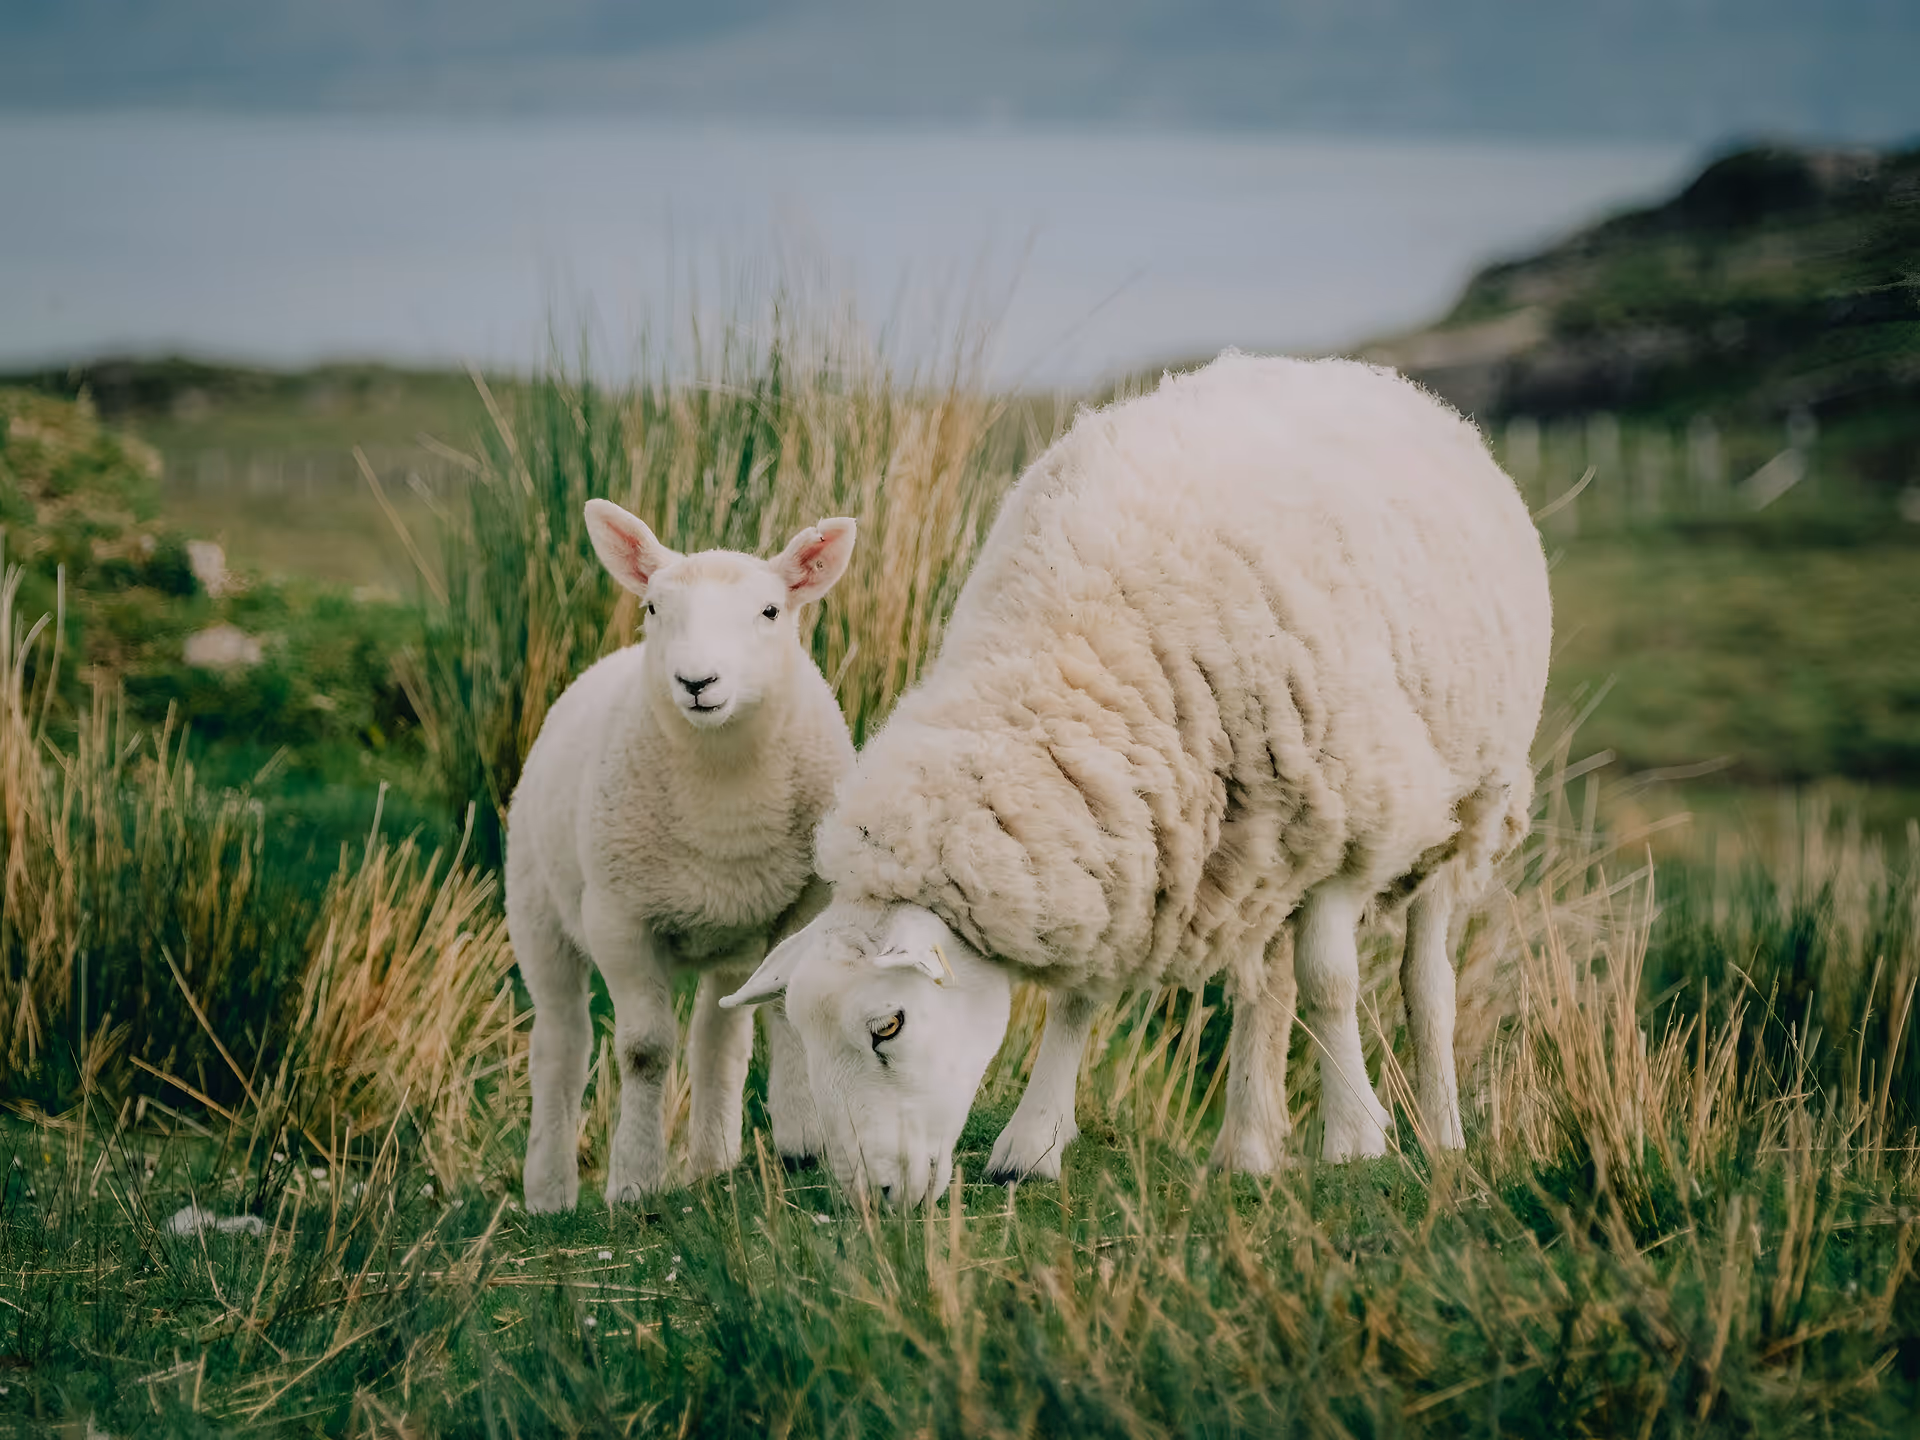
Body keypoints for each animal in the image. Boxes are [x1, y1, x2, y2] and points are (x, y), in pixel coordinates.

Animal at [509, 500, 857, 1212]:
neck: (724, 788)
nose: (697, 681)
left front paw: (803, 1142)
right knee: (560, 1042)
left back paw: (712, 1164)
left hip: (732, 939)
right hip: (538, 912)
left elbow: (784, 1012)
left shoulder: (807, 904)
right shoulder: (618, 919)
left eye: (770, 611)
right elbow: (644, 1050)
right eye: (652, 608)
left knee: (718, 1040)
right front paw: (633, 1181)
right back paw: (550, 1193)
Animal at [721, 353, 1552, 1208]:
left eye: (889, 1025)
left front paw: (1355, 1138)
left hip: (1468, 808)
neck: (1072, 646)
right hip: (1263, 845)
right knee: (1262, 985)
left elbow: (1331, 981)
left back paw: (1440, 1132)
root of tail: (1362, 373)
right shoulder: (1120, 830)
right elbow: (1078, 999)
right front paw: (1032, 1143)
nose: (871, 1198)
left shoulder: (1351, 818)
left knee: (1425, 982)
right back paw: (1246, 1144)